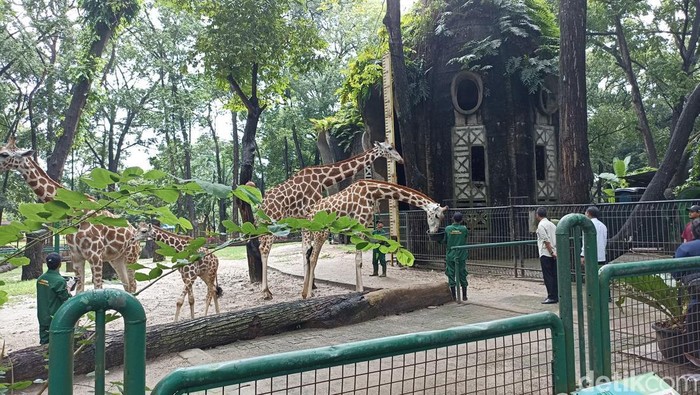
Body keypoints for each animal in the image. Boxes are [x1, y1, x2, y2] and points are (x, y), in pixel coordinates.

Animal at [0, 138, 138, 292]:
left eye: (4, 154)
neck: (74, 211)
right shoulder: (76, 257)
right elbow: (79, 291)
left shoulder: (95, 256)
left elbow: (97, 288)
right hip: (116, 259)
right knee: (127, 285)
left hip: (131, 257)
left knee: (133, 285)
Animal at [258, 141, 402, 298]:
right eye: (390, 148)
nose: (400, 159)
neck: (323, 179)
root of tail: (262, 203)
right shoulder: (310, 214)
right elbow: (308, 249)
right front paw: (308, 290)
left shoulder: (305, 217)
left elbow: (305, 249)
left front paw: (308, 288)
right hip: (273, 222)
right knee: (265, 248)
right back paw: (266, 292)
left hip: (266, 225)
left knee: (261, 246)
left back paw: (266, 290)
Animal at [298, 180, 446, 300]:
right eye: (437, 216)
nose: (434, 232)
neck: (373, 192)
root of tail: (309, 216)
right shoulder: (359, 224)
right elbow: (359, 260)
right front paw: (360, 290)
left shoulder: (364, 226)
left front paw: (359, 289)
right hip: (321, 233)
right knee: (313, 258)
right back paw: (309, 294)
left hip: (308, 235)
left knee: (306, 256)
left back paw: (304, 293)